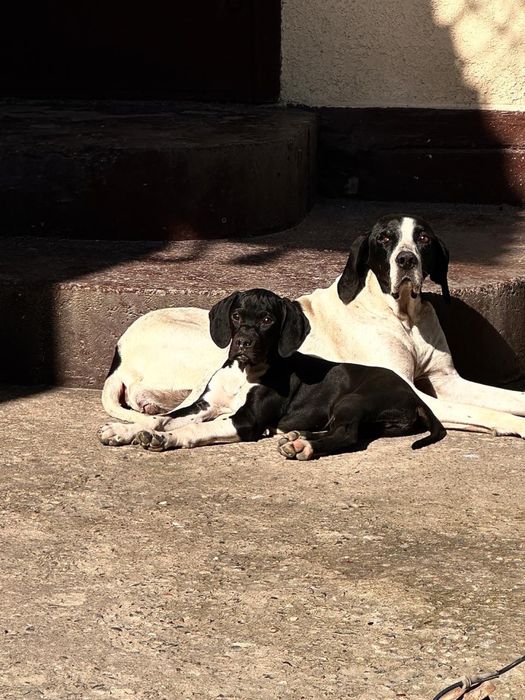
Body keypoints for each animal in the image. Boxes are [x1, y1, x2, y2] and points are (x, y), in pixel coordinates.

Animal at [98, 289, 446, 456]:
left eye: (267, 320)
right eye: (237, 315)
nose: (243, 342)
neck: (242, 372)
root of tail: (414, 397)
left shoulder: (246, 420)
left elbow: (193, 429)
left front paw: (167, 439)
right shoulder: (204, 404)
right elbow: (164, 418)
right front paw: (125, 430)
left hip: (353, 400)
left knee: (347, 435)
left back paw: (304, 446)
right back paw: (296, 437)